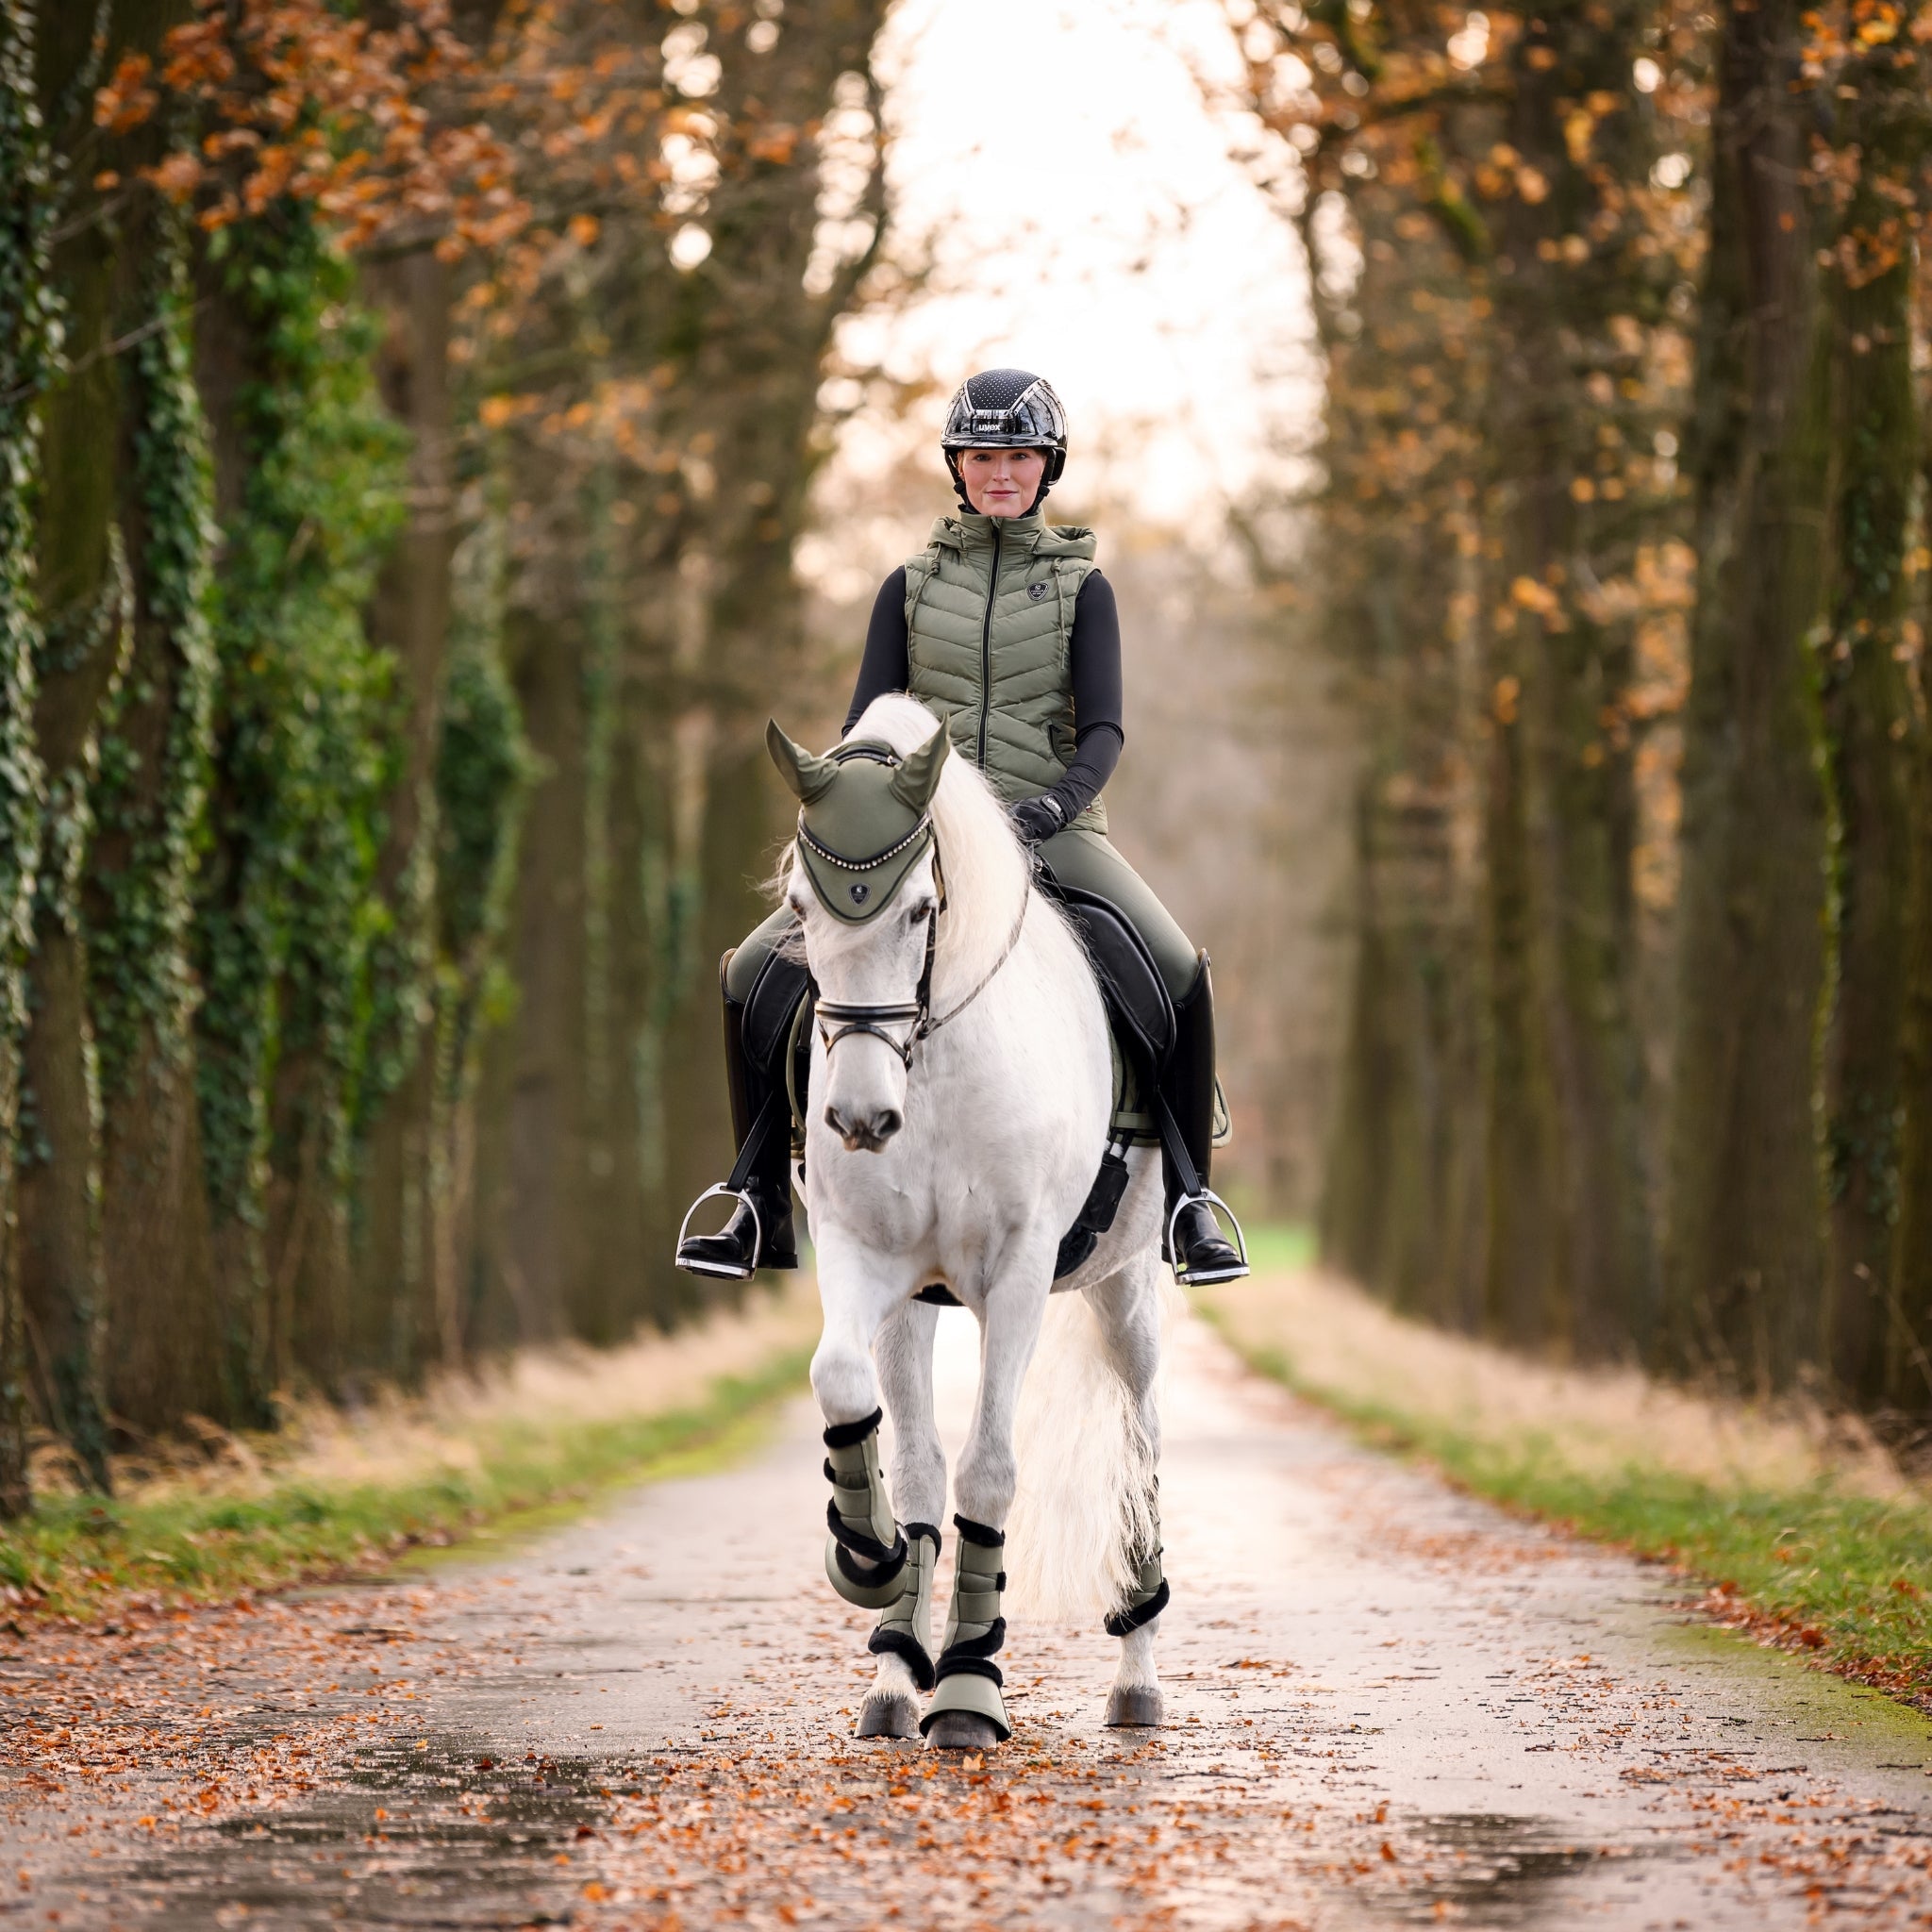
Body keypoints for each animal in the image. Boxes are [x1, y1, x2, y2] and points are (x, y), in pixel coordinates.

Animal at [766, 692, 1170, 1752]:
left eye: (919, 909)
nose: (861, 1118)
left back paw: (1136, 1674)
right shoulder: (874, 1266)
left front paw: (969, 1684)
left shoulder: (1016, 1275)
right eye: (800, 908)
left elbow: (988, 1471)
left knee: (1140, 1444)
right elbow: (867, 1415)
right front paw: (872, 1575)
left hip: (1126, 1292)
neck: (935, 1066)